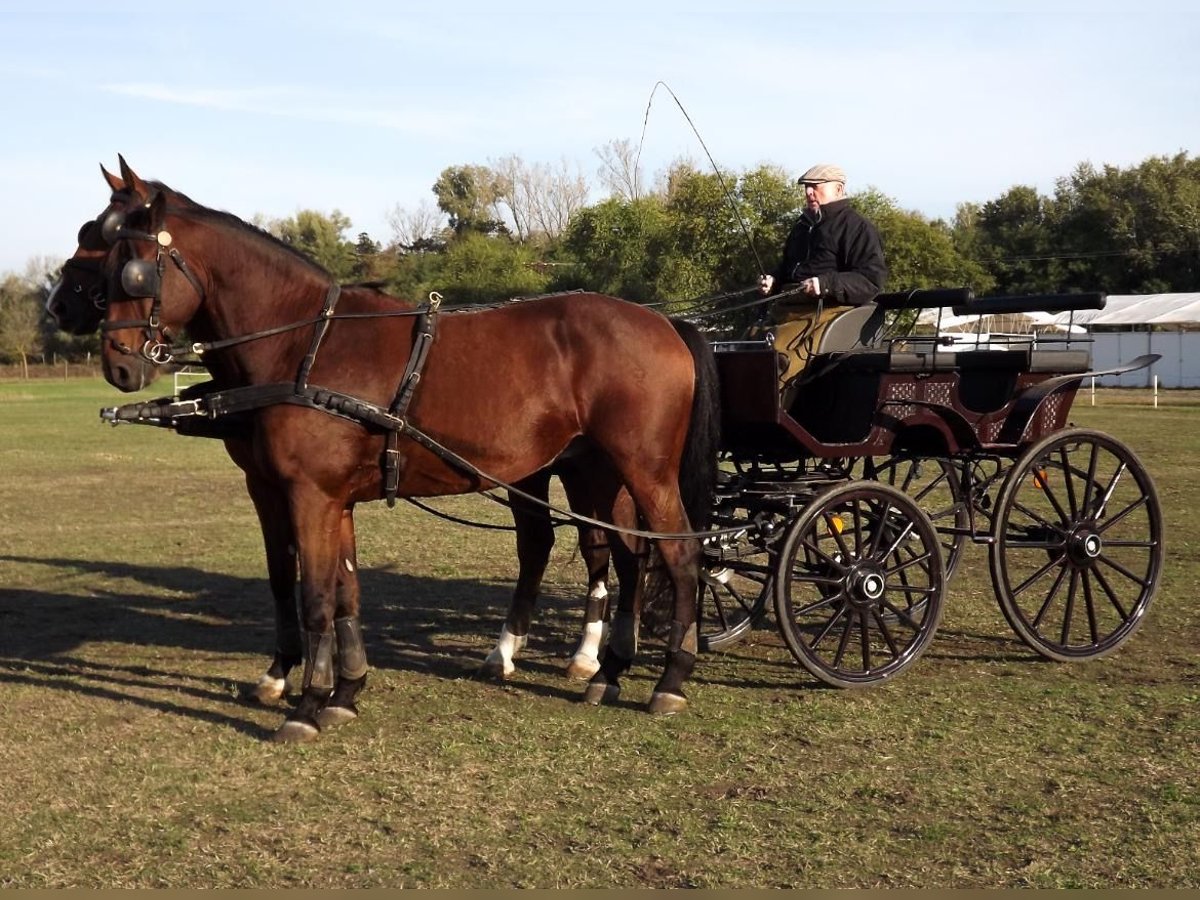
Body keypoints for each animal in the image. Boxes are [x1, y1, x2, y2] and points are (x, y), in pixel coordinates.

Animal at [84, 158, 720, 744]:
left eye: (131, 269)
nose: (117, 364)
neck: (303, 343)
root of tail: (666, 321)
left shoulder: (307, 495)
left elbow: (315, 595)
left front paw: (306, 705)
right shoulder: (332, 499)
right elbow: (346, 592)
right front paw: (345, 691)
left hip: (645, 471)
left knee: (679, 553)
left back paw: (669, 679)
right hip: (599, 471)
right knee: (630, 555)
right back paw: (608, 670)